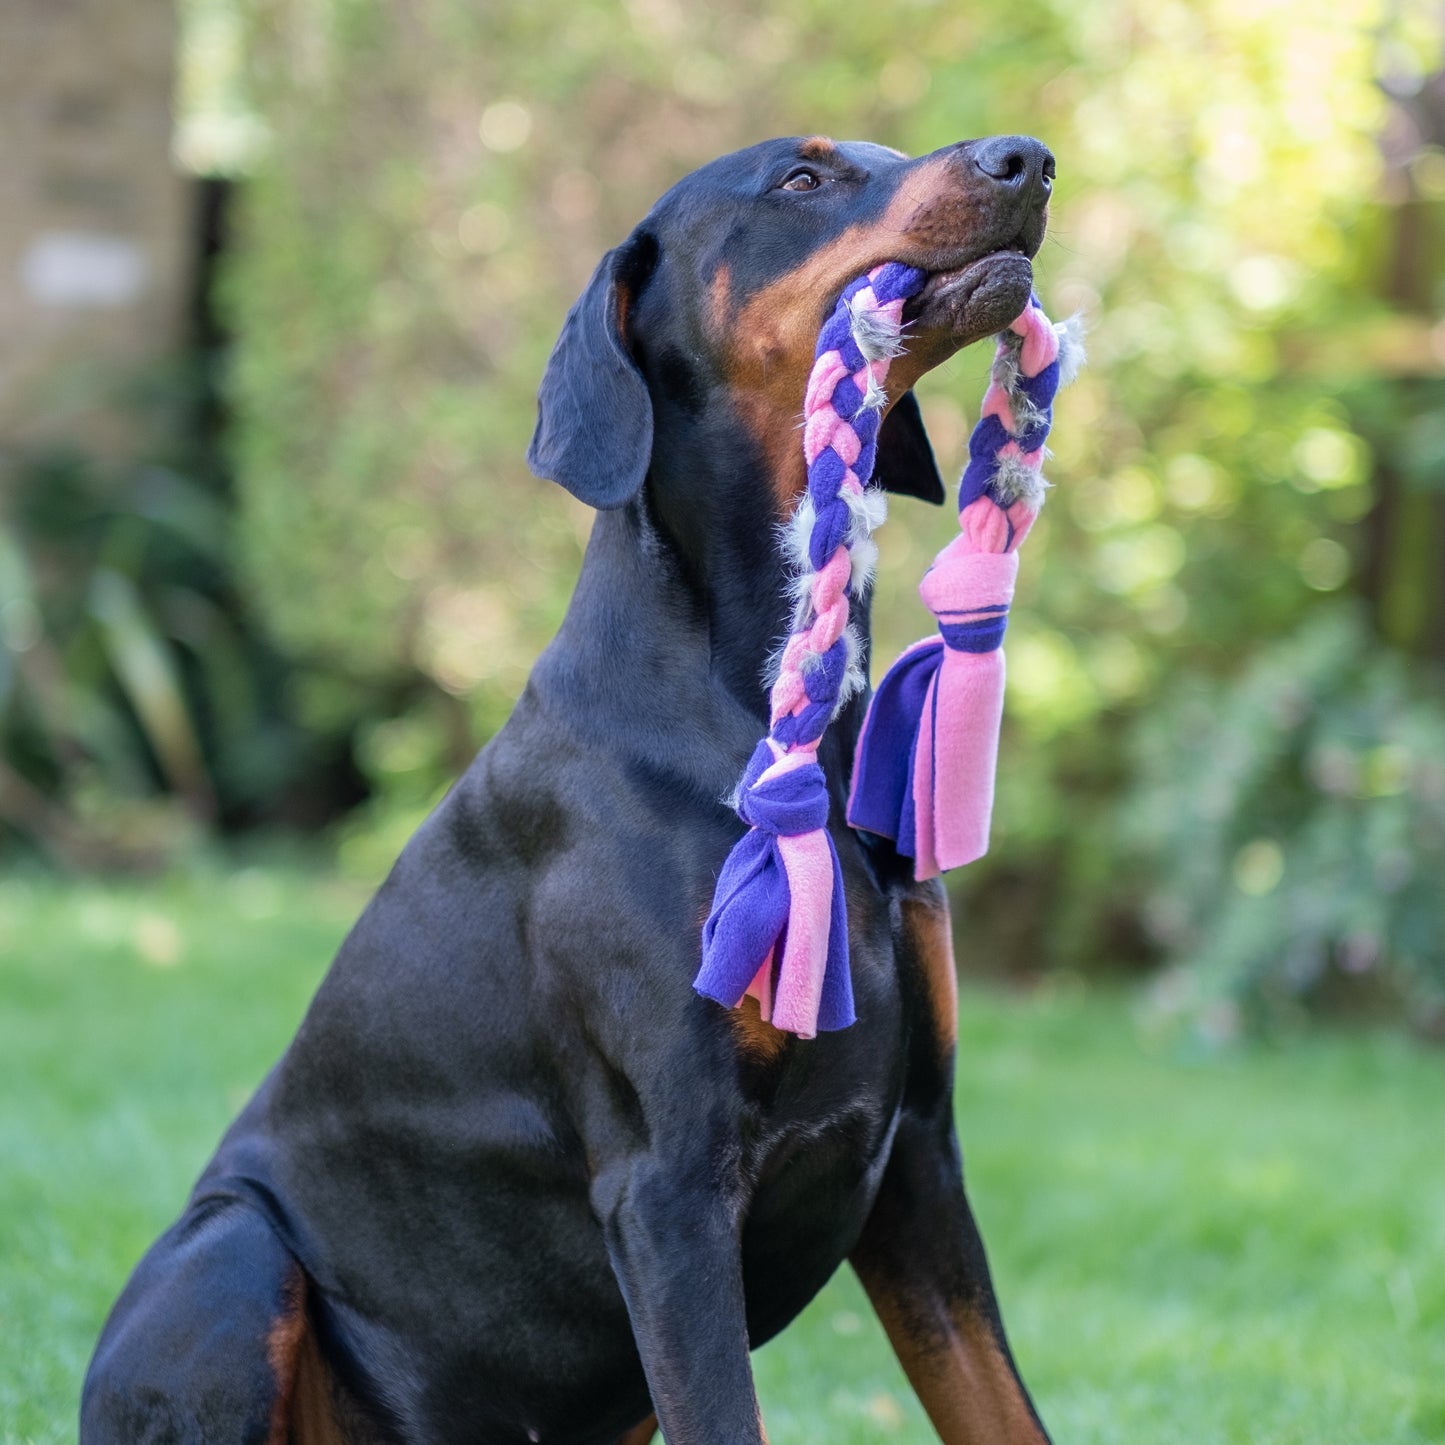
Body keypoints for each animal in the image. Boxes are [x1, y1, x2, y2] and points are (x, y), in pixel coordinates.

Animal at [82, 135, 1051, 1445]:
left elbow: (998, 1404)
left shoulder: (918, 1161)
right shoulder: (669, 1184)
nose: (1026, 159)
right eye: (798, 181)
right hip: (230, 1248)